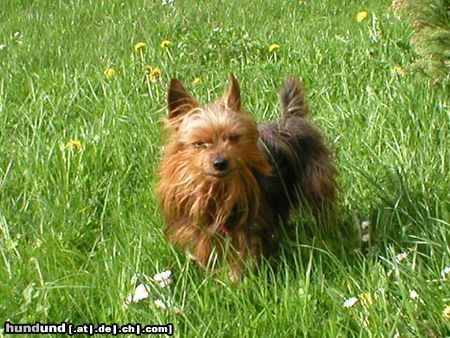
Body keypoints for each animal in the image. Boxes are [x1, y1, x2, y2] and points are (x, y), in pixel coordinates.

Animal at [156, 74, 336, 282]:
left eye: (234, 138)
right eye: (199, 144)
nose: (220, 162)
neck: (217, 191)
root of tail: (290, 116)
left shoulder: (247, 228)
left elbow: (242, 257)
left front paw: (236, 281)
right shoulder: (202, 230)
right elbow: (209, 253)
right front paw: (215, 278)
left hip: (316, 179)